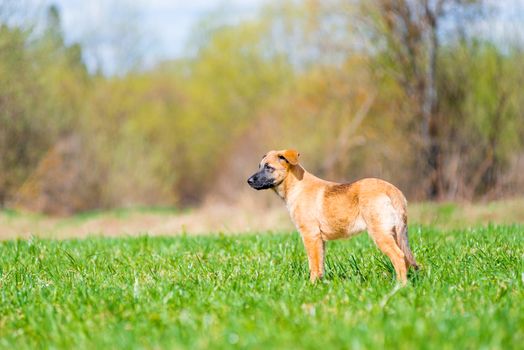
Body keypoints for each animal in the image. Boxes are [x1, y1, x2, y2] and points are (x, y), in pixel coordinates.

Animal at [248, 148, 420, 284]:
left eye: (269, 167)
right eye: (259, 166)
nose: (248, 181)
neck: (296, 186)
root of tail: (393, 190)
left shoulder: (310, 236)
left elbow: (313, 264)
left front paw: (311, 286)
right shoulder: (320, 240)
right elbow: (320, 265)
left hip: (380, 233)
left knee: (399, 257)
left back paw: (400, 286)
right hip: (394, 232)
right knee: (405, 259)